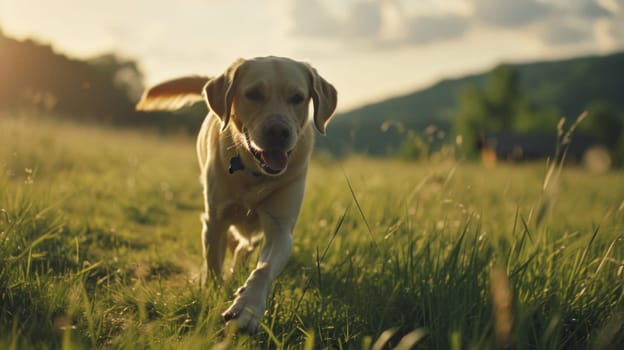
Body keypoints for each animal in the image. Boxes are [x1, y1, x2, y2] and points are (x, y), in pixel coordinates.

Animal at [136, 56, 338, 332]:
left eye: (297, 97)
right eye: (253, 94)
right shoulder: (215, 220)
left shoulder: (280, 228)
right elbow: (213, 264)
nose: (278, 131)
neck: (254, 172)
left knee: (245, 247)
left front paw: (248, 308)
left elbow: (263, 269)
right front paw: (211, 292)